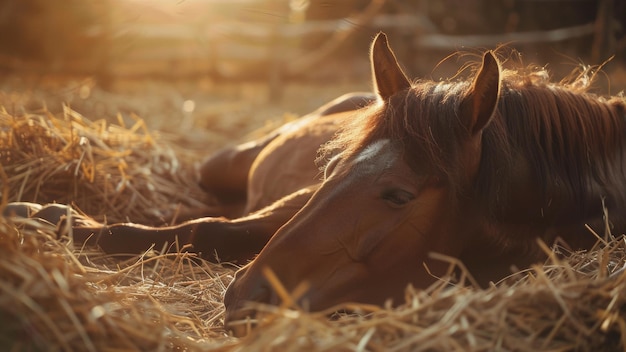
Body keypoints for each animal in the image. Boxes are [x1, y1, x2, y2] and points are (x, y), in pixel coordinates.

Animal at [4, 33, 624, 338]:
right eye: (331, 169)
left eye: (399, 195)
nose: (244, 298)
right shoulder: (293, 204)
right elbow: (208, 229)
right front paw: (43, 215)